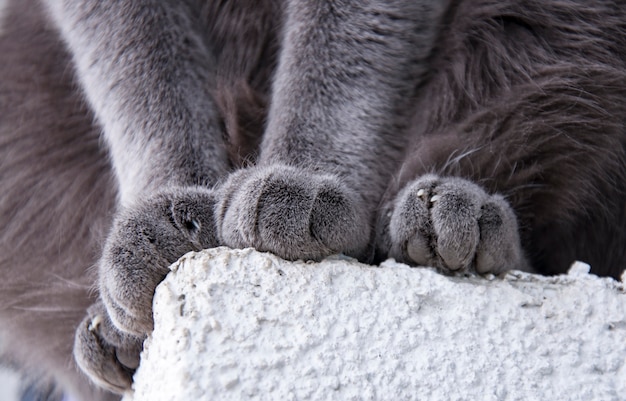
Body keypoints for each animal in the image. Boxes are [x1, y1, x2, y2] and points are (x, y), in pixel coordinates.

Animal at [1, 0, 624, 398]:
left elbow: (338, 58)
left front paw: (297, 184)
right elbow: (141, 68)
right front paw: (166, 226)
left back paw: (455, 223)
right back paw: (113, 338)